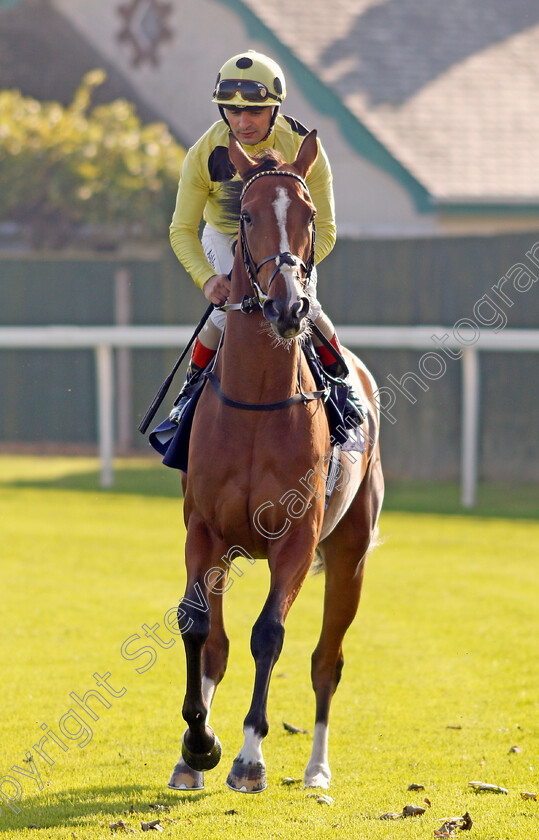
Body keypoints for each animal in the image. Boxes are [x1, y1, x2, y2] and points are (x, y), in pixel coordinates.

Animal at [169, 131, 384, 796]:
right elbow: (198, 629)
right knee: (218, 646)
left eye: (310, 215)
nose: (289, 307)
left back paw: (316, 770)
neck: (258, 402)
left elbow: (269, 634)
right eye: (246, 215)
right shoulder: (205, 531)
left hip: (349, 554)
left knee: (326, 661)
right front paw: (198, 744)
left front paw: (247, 757)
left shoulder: (296, 538)